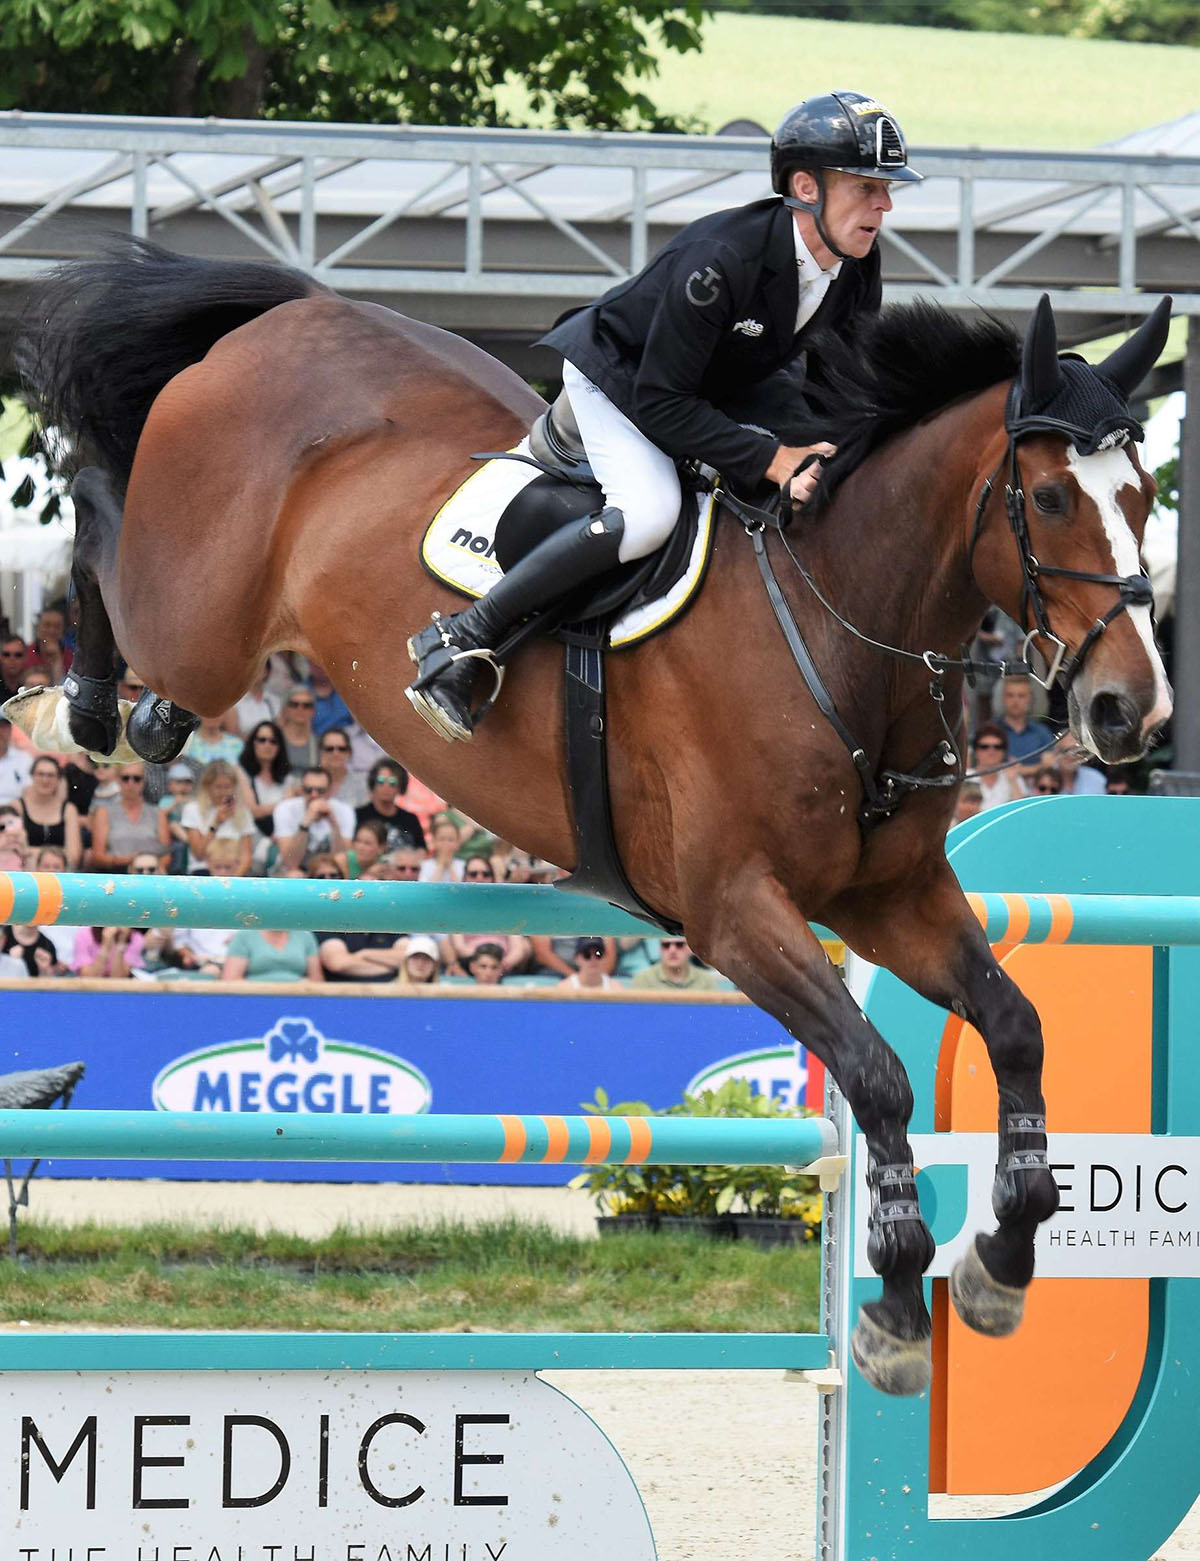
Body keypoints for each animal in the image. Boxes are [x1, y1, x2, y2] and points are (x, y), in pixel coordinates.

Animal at [7, 240, 1173, 1392]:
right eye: (1052, 498)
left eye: (1146, 499)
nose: (1135, 712)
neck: (836, 620)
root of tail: (292, 313)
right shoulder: (735, 913)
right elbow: (878, 1078)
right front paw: (891, 1306)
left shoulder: (890, 896)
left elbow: (1014, 1025)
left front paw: (1001, 1263)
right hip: (200, 616)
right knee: (97, 532)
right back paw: (79, 709)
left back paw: (133, 712)